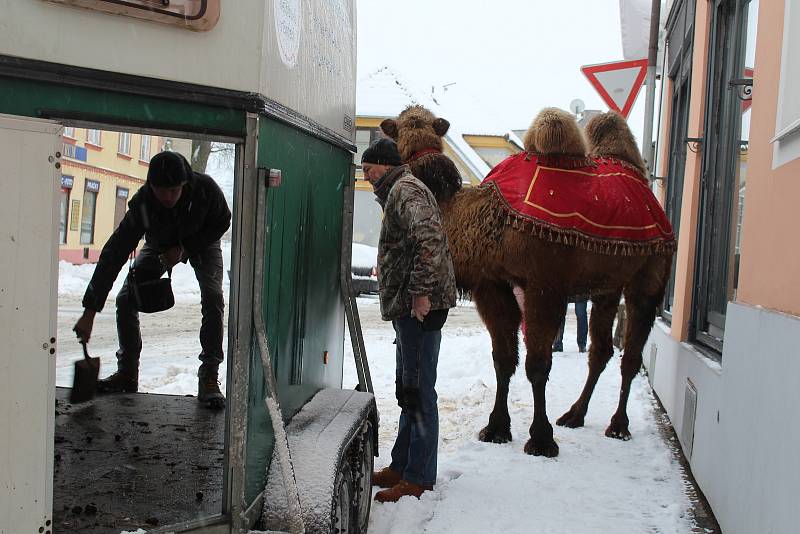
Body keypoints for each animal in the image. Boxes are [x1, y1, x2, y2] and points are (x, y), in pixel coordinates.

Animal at [382, 107, 676, 458]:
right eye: (399, 129)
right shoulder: (491, 284)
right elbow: (503, 358)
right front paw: (496, 428)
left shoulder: (543, 284)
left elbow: (537, 364)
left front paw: (541, 439)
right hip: (606, 286)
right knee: (601, 350)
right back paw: (574, 415)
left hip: (650, 274)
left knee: (631, 354)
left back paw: (618, 426)